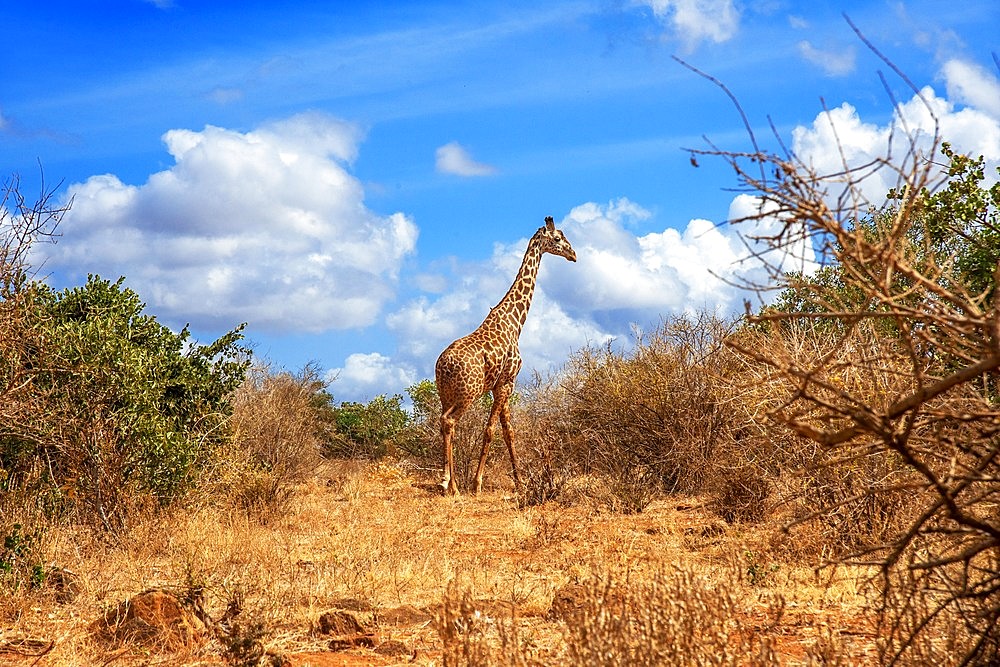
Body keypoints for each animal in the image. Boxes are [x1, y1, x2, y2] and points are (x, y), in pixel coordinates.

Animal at [436, 215, 580, 496]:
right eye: (558, 238)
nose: (574, 255)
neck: (515, 322)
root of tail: (443, 366)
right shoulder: (506, 382)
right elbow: (491, 430)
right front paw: (477, 484)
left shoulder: (500, 385)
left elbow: (508, 431)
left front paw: (520, 482)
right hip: (467, 394)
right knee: (449, 422)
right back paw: (454, 487)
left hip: (445, 395)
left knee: (443, 424)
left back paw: (447, 481)